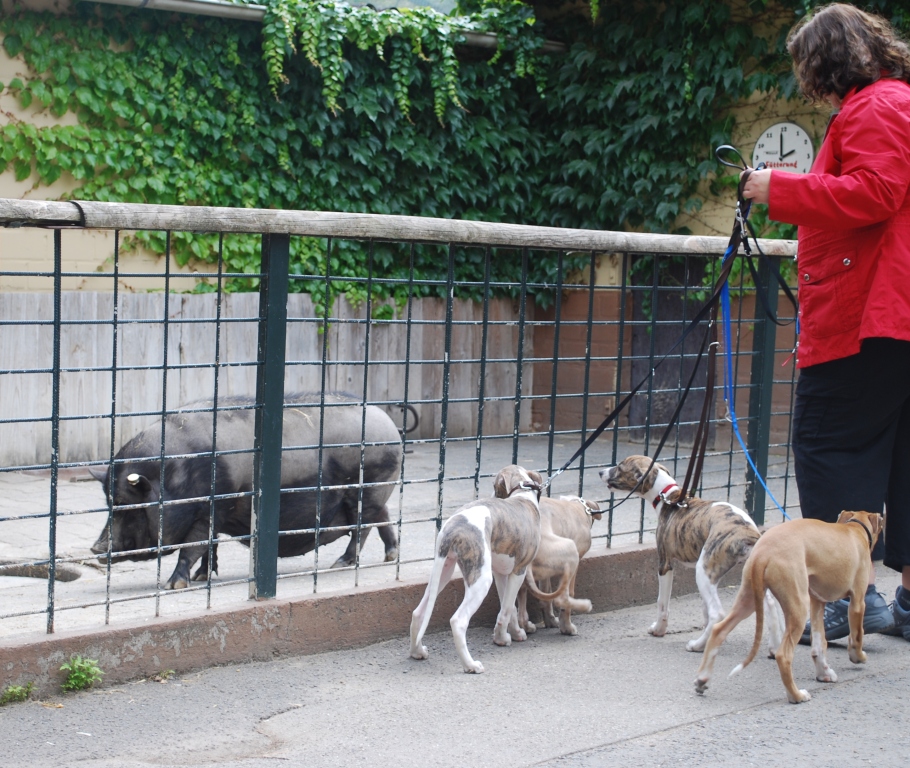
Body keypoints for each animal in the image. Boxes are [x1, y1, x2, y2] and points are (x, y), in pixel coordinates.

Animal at [516, 498, 604, 636]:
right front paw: (565, 627)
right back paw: (575, 617)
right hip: (570, 550)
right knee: (561, 598)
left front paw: (551, 621)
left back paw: (524, 626)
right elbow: (568, 594)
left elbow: (545, 595)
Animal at [600, 456, 784, 656]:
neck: (669, 497)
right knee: (770, 604)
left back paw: (698, 645)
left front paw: (659, 629)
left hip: (703, 570)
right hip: (744, 571)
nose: (601, 472)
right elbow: (704, 608)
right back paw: (775, 647)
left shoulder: (665, 564)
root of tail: (749, 534)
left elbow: (662, 603)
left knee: (718, 613)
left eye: (619, 467)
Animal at [700, 510, 884, 704]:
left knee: (719, 630)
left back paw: (702, 679)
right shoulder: (857, 602)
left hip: (748, 600)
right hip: (798, 609)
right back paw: (796, 695)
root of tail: (763, 553)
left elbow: (819, 643)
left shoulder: (817, 603)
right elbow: (857, 635)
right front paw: (858, 657)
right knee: (783, 655)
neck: (855, 528)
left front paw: (823, 673)